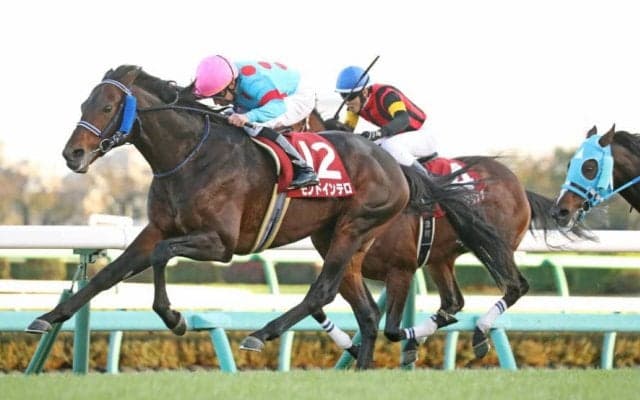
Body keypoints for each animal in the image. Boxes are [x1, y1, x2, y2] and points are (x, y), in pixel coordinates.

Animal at [26, 65, 511, 369]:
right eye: (84, 104)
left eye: (107, 108)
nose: (72, 154)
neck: (189, 155)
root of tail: (396, 165)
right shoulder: (159, 227)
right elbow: (108, 275)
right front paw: (47, 317)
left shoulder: (220, 244)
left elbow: (163, 256)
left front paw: (174, 317)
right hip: (339, 236)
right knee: (368, 313)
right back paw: (360, 366)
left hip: (354, 227)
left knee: (322, 292)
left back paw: (262, 332)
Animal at [306, 113, 589, 365]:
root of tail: (518, 185)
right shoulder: (348, 266)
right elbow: (321, 305)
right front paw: (353, 347)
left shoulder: (401, 268)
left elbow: (391, 328)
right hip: (440, 259)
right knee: (454, 301)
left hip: (492, 246)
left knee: (515, 286)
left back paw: (479, 331)